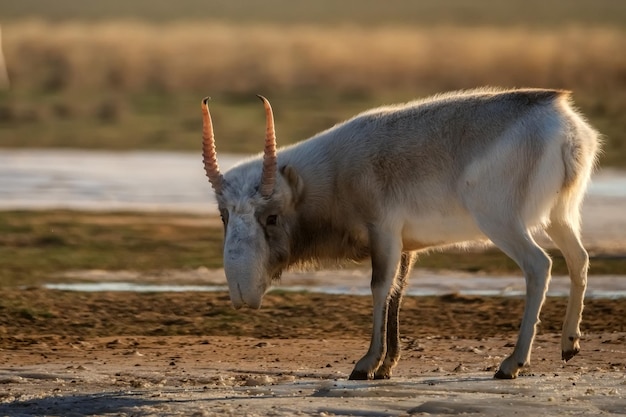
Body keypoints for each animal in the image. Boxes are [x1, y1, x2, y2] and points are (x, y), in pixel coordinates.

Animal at [201, 88, 600, 380]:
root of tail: (562, 120)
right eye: (223, 214)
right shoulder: (408, 247)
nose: (242, 294)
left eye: (271, 217)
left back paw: (511, 364)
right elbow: (398, 292)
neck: (332, 172)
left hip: (503, 223)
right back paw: (569, 344)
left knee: (539, 265)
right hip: (560, 217)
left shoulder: (385, 234)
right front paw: (387, 366)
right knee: (579, 258)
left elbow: (380, 287)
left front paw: (366, 364)